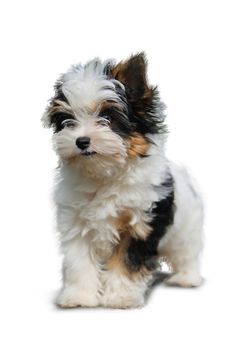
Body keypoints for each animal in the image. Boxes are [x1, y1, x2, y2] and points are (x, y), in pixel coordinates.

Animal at [42, 53, 203, 308]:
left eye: (107, 117)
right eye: (68, 120)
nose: (81, 141)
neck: (106, 174)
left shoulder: (141, 224)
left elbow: (128, 261)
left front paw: (121, 297)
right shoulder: (76, 222)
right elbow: (79, 261)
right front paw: (80, 296)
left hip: (186, 227)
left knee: (186, 252)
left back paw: (187, 278)